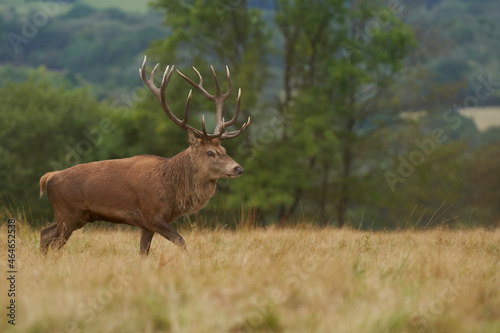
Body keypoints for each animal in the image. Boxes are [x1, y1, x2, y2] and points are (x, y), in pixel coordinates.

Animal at [39, 56, 250, 254]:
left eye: (225, 151)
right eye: (210, 152)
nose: (238, 168)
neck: (173, 192)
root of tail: (48, 178)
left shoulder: (146, 224)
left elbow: (143, 252)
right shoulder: (152, 214)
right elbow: (181, 241)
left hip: (78, 217)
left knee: (45, 233)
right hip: (67, 212)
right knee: (54, 242)